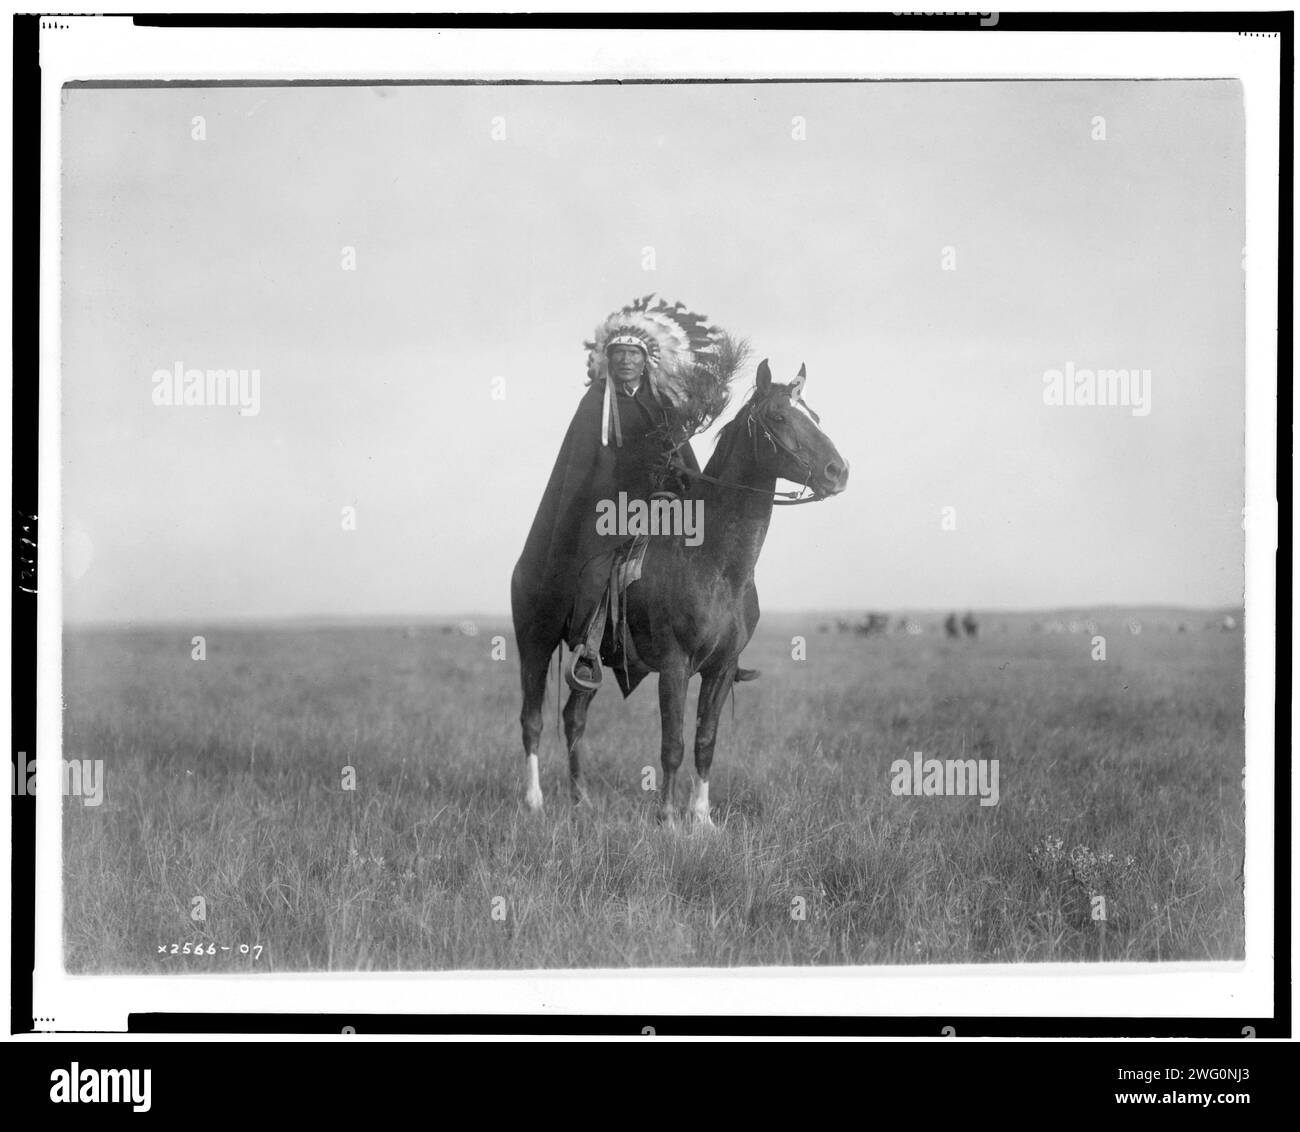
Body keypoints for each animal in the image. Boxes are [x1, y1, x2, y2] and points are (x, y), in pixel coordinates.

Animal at [512, 358, 847, 826]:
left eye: (813, 417)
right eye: (780, 417)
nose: (838, 471)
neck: (716, 566)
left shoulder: (721, 668)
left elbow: (705, 740)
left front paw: (702, 819)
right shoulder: (674, 666)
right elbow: (672, 743)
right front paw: (668, 819)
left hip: (586, 660)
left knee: (573, 718)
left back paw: (581, 800)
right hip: (535, 643)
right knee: (532, 720)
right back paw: (534, 801)